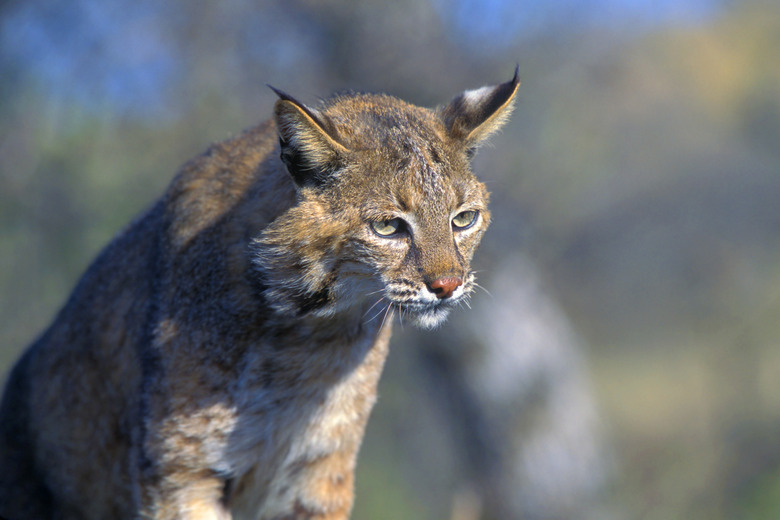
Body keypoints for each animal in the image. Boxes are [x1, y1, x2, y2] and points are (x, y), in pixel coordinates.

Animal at [3, 70, 520, 520]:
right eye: (389, 227)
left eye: (463, 219)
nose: (448, 285)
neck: (306, 332)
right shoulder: (180, 471)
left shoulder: (319, 473)